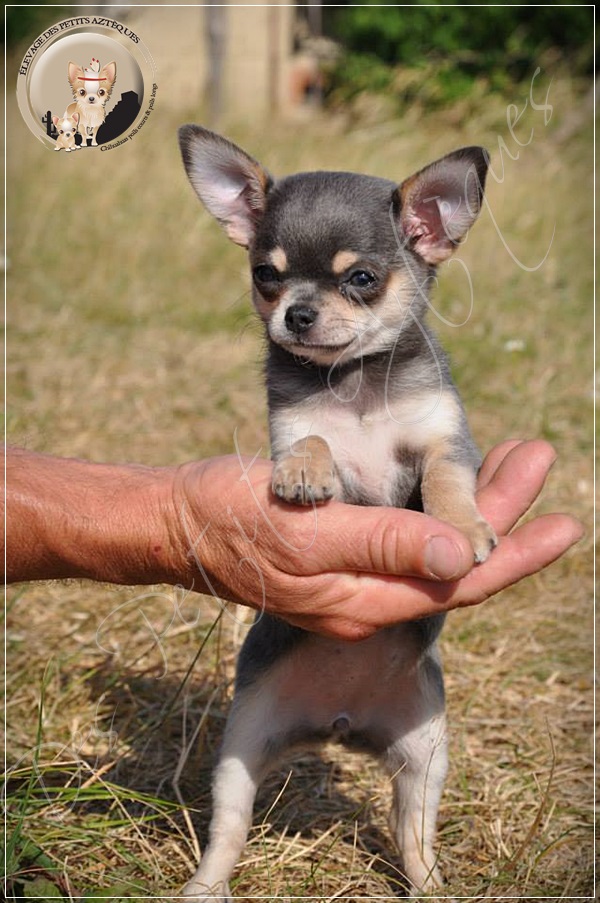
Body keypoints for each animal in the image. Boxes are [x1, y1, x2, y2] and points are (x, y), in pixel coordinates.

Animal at [178, 125, 496, 896]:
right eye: (266, 275)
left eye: (361, 279)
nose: (295, 313)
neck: (353, 383)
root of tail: (340, 722)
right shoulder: (295, 423)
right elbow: (315, 437)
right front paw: (303, 475)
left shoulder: (443, 438)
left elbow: (446, 480)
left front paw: (461, 525)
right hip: (242, 749)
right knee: (228, 829)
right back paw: (205, 884)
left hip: (425, 757)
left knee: (414, 837)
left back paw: (429, 885)